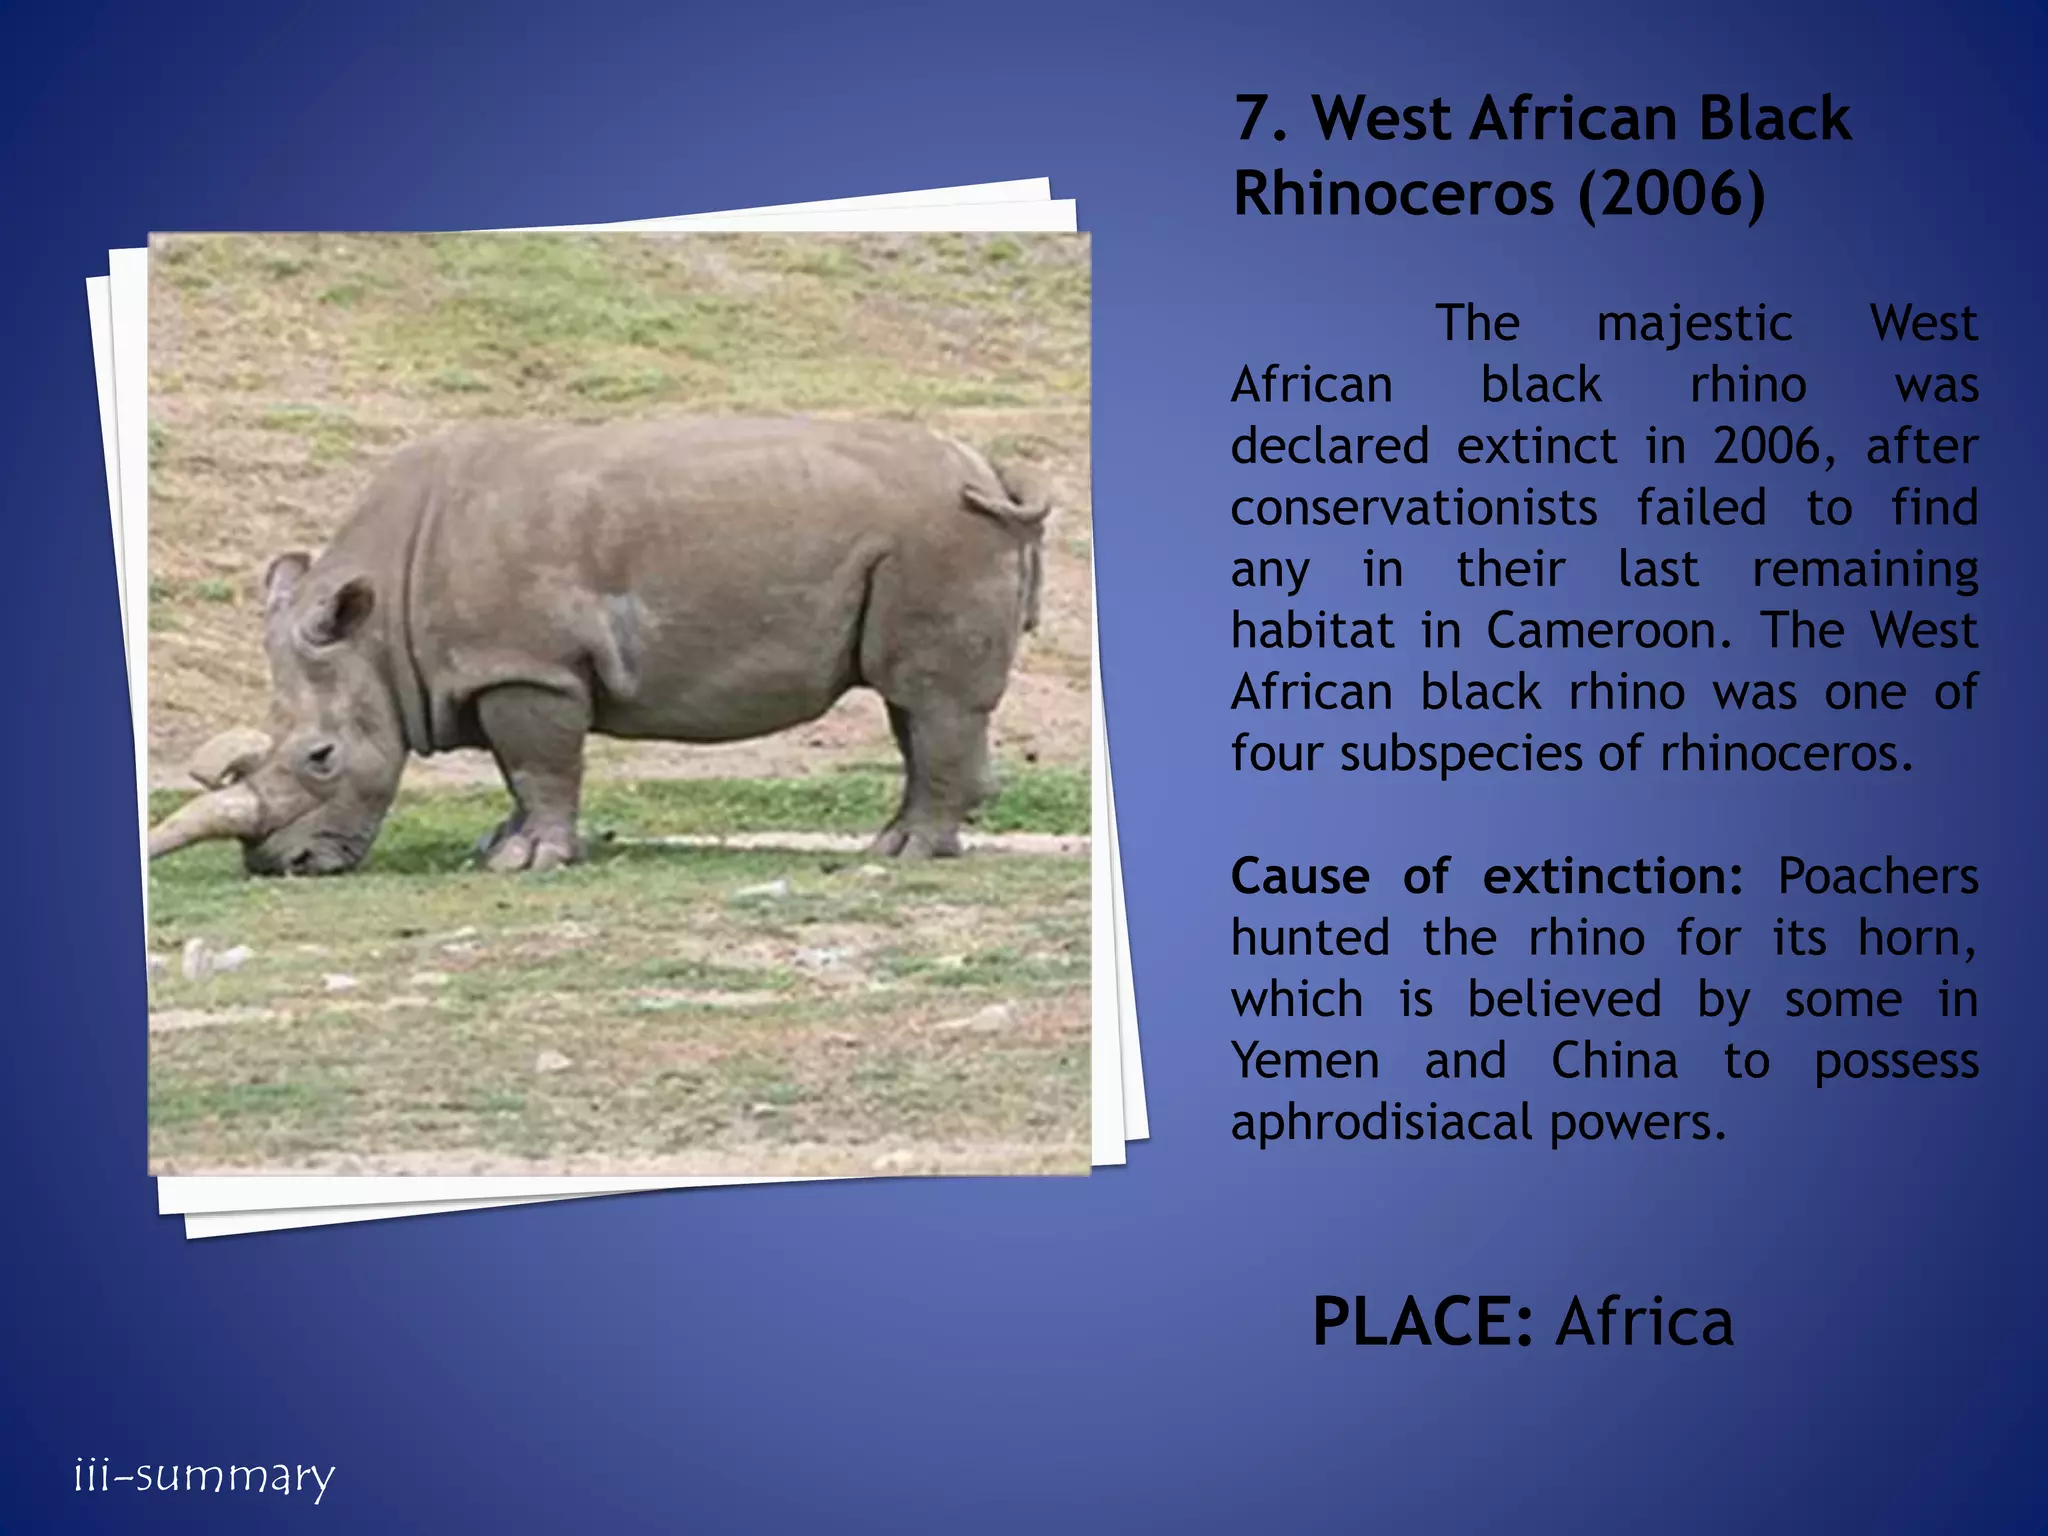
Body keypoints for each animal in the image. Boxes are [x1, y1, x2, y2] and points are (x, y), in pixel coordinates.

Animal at [147, 416, 1053, 875]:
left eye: (321, 758)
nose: (281, 866)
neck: (379, 624)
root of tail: (990, 471)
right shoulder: (495, 667)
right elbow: (517, 771)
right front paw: (498, 848)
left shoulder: (527, 668)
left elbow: (540, 763)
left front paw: (530, 862)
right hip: (925, 539)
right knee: (910, 705)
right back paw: (907, 842)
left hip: (939, 532)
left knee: (928, 698)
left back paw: (903, 856)